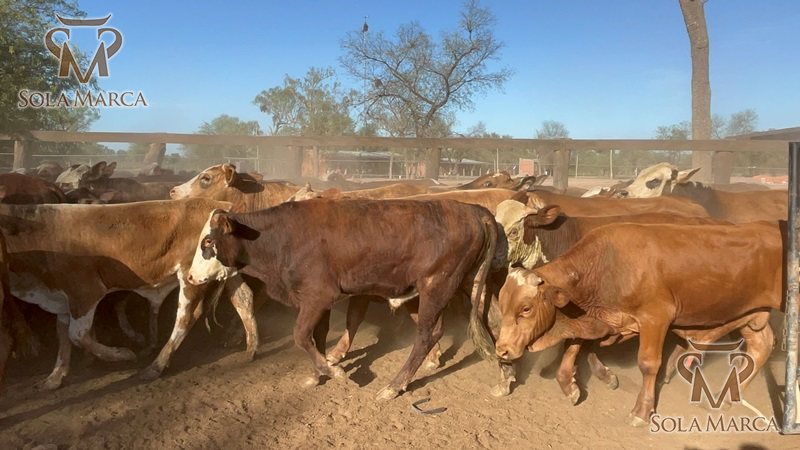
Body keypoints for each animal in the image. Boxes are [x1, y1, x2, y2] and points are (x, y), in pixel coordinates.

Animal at [0, 199, 259, 389]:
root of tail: (219, 204)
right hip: (220, 271)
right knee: (244, 299)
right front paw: (55, 377)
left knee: (186, 318)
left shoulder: (85, 291)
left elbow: (77, 335)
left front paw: (122, 354)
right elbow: (63, 336)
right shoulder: (62, 297)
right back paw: (251, 347)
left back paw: (156, 365)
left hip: (190, 276)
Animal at [186, 198, 501, 400]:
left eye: (208, 241)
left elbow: (300, 335)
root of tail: (474, 211)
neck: (282, 237)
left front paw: (334, 372)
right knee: (488, 324)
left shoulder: (318, 296)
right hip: (467, 283)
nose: (190, 277)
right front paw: (318, 374)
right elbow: (317, 335)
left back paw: (393, 386)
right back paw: (503, 376)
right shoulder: (318, 301)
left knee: (427, 335)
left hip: (437, 286)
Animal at [491, 221, 783, 426]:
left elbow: (648, 364)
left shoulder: (656, 319)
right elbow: (573, 349)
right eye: (502, 305)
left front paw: (642, 411)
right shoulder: (594, 318)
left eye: (526, 309)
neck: (607, 266)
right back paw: (726, 398)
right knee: (761, 346)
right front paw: (571, 386)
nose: (502, 349)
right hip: (752, 314)